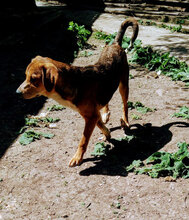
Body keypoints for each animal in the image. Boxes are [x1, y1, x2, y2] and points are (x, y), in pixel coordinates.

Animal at [16, 18, 139, 167]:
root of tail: (115, 44)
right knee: (106, 101)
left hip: (124, 85)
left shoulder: (90, 117)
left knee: (125, 106)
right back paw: (106, 114)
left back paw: (125, 122)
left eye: (34, 79)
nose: (17, 92)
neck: (73, 84)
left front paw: (78, 158)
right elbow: (101, 126)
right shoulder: (91, 116)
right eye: (25, 76)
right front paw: (107, 134)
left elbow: (83, 140)